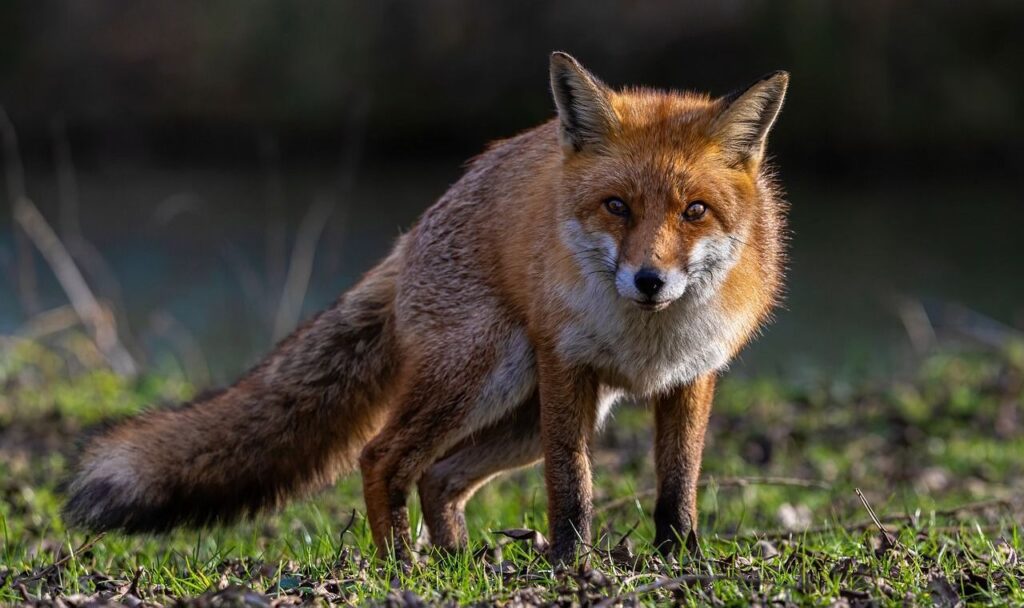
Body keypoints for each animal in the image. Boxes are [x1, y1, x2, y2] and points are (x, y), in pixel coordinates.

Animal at [64, 52, 789, 564]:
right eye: (616, 206)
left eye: (694, 211)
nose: (649, 280)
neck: (647, 339)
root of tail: (412, 233)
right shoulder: (567, 367)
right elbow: (572, 486)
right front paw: (570, 564)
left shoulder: (692, 376)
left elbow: (677, 485)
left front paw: (680, 559)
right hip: (487, 378)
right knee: (383, 457)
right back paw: (401, 566)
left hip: (523, 414)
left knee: (439, 475)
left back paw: (457, 561)